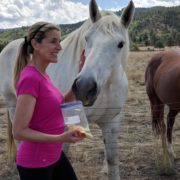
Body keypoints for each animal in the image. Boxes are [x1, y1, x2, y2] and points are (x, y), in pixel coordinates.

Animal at [0, 0, 134, 179]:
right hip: (13, 106)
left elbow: (112, 160)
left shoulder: (112, 123)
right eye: (87, 39)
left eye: (120, 44)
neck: (106, 88)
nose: (84, 87)